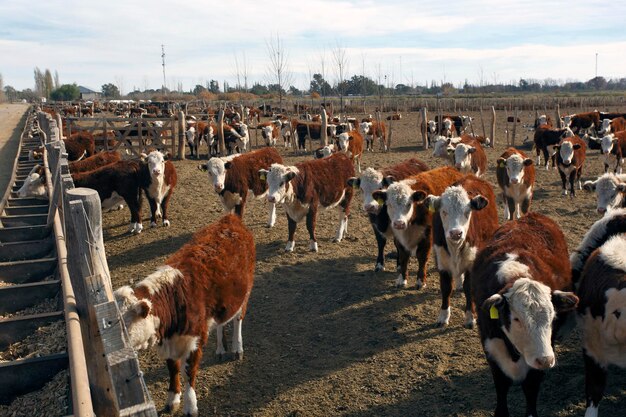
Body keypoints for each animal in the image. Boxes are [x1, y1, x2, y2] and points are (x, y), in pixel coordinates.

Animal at [114, 214, 254, 416]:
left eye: (125, 325)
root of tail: (231, 218)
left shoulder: (195, 340)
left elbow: (190, 372)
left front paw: (190, 405)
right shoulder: (170, 342)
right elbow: (173, 369)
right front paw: (172, 399)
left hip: (245, 292)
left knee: (238, 319)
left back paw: (237, 348)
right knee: (222, 321)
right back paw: (220, 348)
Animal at [424, 175, 498, 328]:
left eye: (467, 212)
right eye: (444, 212)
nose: (456, 233)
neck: (454, 248)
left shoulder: (471, 263)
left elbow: (468, 288)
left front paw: (470, 317)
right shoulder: (442, 262)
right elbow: (446, 288)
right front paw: (443, 316)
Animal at [470, 213, 576, 416]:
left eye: (552, 318)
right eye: (517, 319)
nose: (546, 360)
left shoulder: (542, 354)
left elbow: (531, 390)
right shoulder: (491, 349)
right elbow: (501, 387)